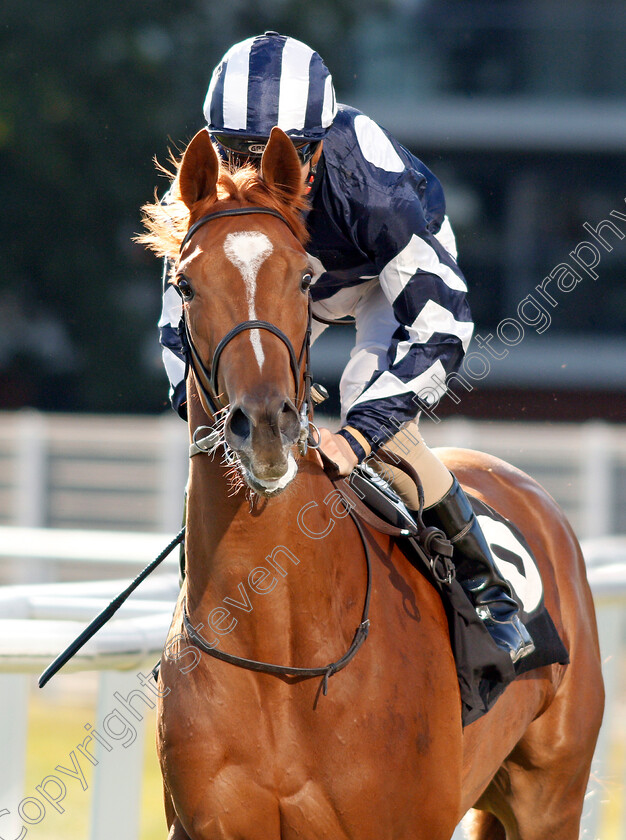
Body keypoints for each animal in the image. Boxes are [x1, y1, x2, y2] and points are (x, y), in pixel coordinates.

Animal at [140, 128, 600, 840]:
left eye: (304, 277)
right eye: (185, 284)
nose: (265, 427)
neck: (279, 652)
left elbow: (438, 327)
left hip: (552, 795)